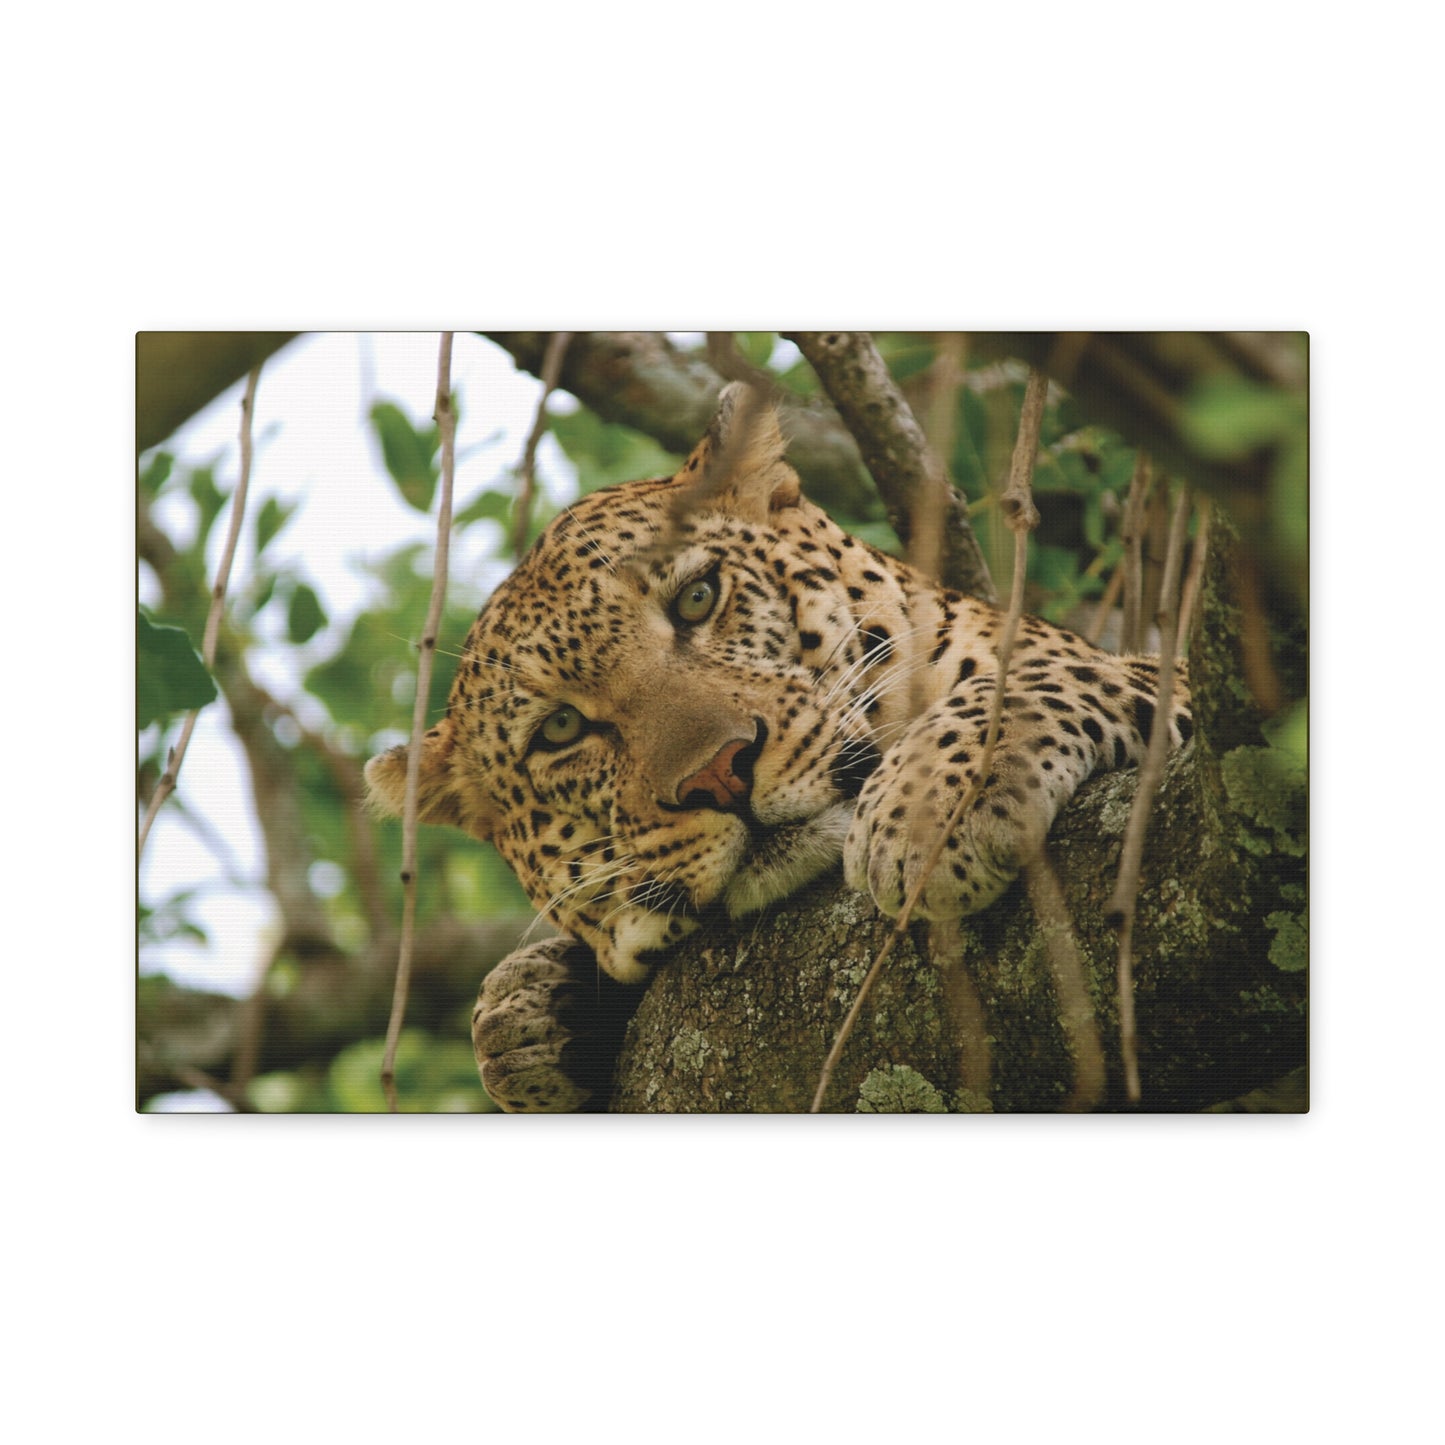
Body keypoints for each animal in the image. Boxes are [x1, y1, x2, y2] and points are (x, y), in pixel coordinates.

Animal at [365, 384, 1193, 1111]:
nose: (718, 774)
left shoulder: (1175, 678)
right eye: (560, 730)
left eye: (697, 598)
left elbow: (1041, 675)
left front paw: (928, 811)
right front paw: (532, 1016)